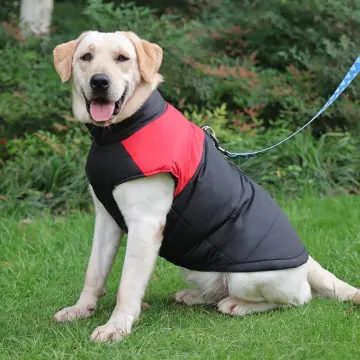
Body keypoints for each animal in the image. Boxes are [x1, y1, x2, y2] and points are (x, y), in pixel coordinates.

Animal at [52, 30, 358, 340]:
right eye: (86, 57)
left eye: (122, 58)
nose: (99, 81)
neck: (118, 132)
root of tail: (307, 259)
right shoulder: (106, 218)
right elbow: (94, 271)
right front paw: (82, 309)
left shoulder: (145, 224)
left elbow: (128, 284)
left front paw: (117, 326)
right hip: (195, 265)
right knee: (217, 290)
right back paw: (195, 296)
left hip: (247, 278)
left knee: (298, 298)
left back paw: (238, 305)